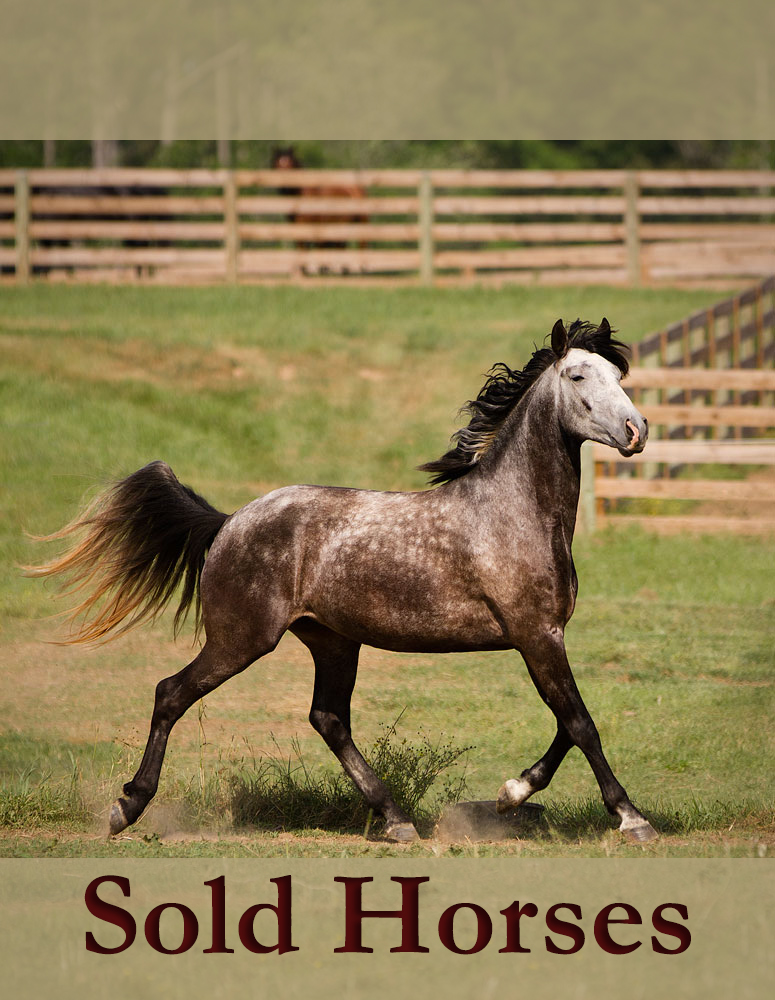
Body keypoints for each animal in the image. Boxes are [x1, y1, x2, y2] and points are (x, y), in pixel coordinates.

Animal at [33, 318, 656, 844]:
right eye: (578, 376)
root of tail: (229, 522)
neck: (511, 511)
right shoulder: (536, 635)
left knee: (328, 719)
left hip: (332, 642)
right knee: (171, 693)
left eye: (618, 375)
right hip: (241, 639)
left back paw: (397, 820)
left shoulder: (543, 637)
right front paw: (631, 817)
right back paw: (125, 808)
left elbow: (566, 724)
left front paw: (511, 795)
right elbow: (580, 722)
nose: (636, 430)